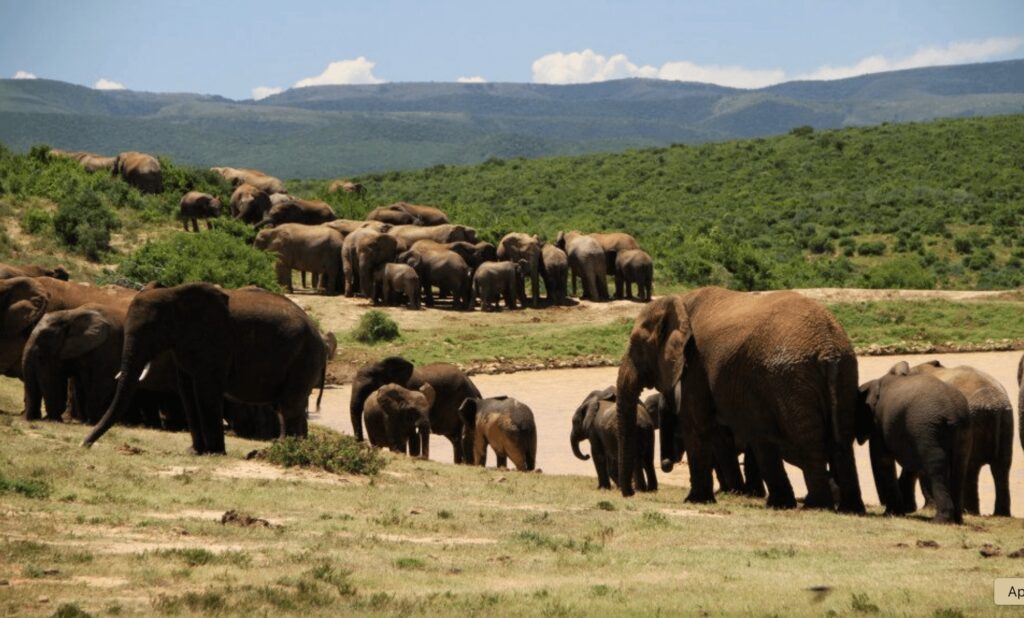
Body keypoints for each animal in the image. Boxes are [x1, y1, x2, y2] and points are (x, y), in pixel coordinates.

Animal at [82, 283, 328, 454]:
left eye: (152, 329)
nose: (84, 444)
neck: (174, 293)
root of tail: (319, 335)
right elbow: (186, 390)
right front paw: (194, 452)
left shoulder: (215, 341)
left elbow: (206, 390)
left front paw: (215, 453)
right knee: (288, 405)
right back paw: (288, 449)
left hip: (304, 358)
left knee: (289, 404)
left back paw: (286, 450)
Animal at [615, 288, 865, 513]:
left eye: (635, 345)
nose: (630, 494)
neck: (678, 301)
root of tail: (829, 348)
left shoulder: (695, 366)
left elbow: (696, 426)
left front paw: (695, 501)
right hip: (844, 372)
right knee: (841, 439)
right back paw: (849, 509)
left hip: (793, 379)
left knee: (806, 439)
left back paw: (815, 506)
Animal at [857, 362, 972, 524]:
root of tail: (952, 412)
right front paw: (899, 511)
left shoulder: (878, 424)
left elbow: (882, 460)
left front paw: (892, 513)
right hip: (962, 431)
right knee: (960, 467)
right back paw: (957, 520)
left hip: (928, 428)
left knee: (936, 469)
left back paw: (939, 521)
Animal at [907, 360, 1013, 516]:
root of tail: (993, 406)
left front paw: (929, 509)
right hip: (1006, 421)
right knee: (1001, 466)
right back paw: (999, 514)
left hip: (974, 421)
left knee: (971, 466)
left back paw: (969, 512)